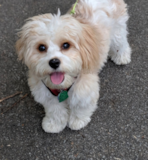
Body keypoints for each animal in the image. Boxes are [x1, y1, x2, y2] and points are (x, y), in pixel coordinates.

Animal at [15, 0, 131, 132]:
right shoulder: (47, 94)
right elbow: (55, 110)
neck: (62, 87)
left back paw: (122, 57)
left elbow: (80, 106)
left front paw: (77, 121)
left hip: (118, 30)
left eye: (66, 45)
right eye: (41, 47)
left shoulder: (84, 89)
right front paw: (54, 124)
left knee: (120, 44)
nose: (54, 62)